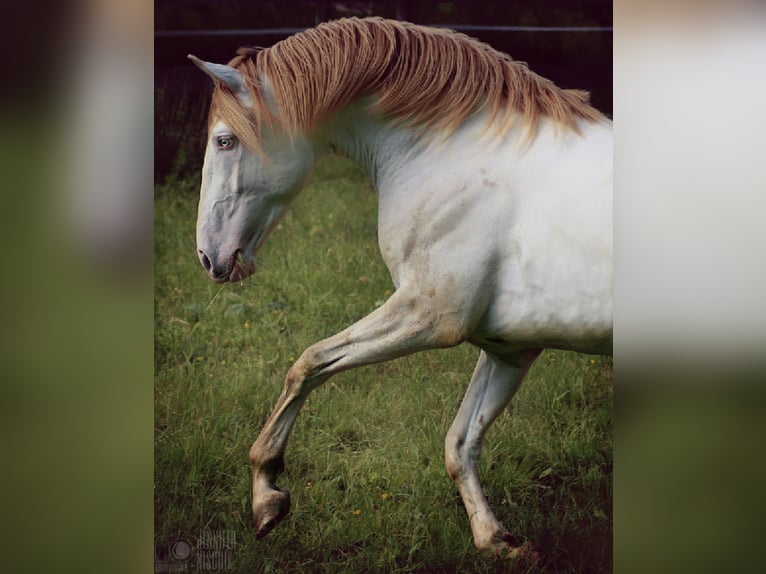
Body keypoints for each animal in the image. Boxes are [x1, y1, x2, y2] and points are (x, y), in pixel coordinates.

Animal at [189, 16, 616, 560]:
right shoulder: (509, 349)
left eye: (225, 141)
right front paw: (496, 539)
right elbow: (460, 442)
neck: (456, 156)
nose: (208, 257)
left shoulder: (429, 317)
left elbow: (308, 363)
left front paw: (267, 493)